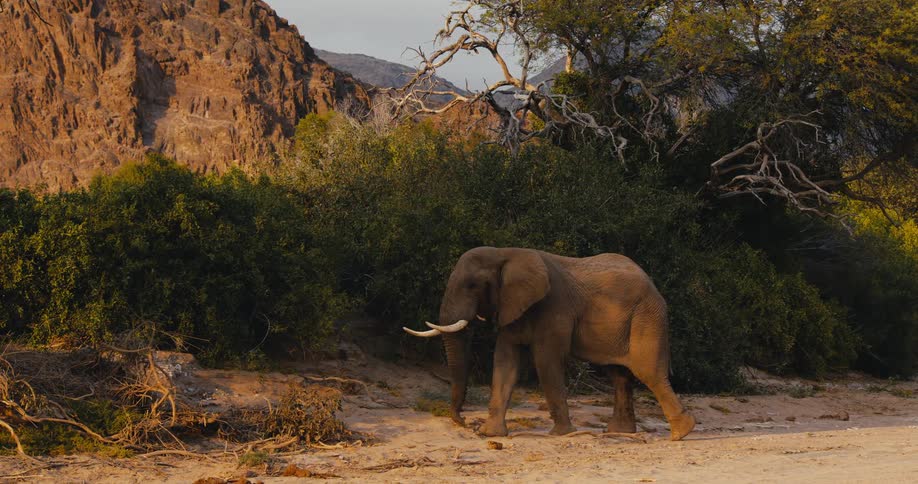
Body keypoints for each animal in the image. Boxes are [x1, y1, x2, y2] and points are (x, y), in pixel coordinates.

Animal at [403, 246, 696, 441]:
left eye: (473, 285)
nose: (464, 423)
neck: (506, 253)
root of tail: (653, 284)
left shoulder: (554, 307)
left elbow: (546, 360)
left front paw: (561, 434)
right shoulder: (511, 307)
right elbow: (505, 362)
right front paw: (491, 434)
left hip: (648, 315)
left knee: (648, 372)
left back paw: (681, 432)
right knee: (619, 373)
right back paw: (619, 432)